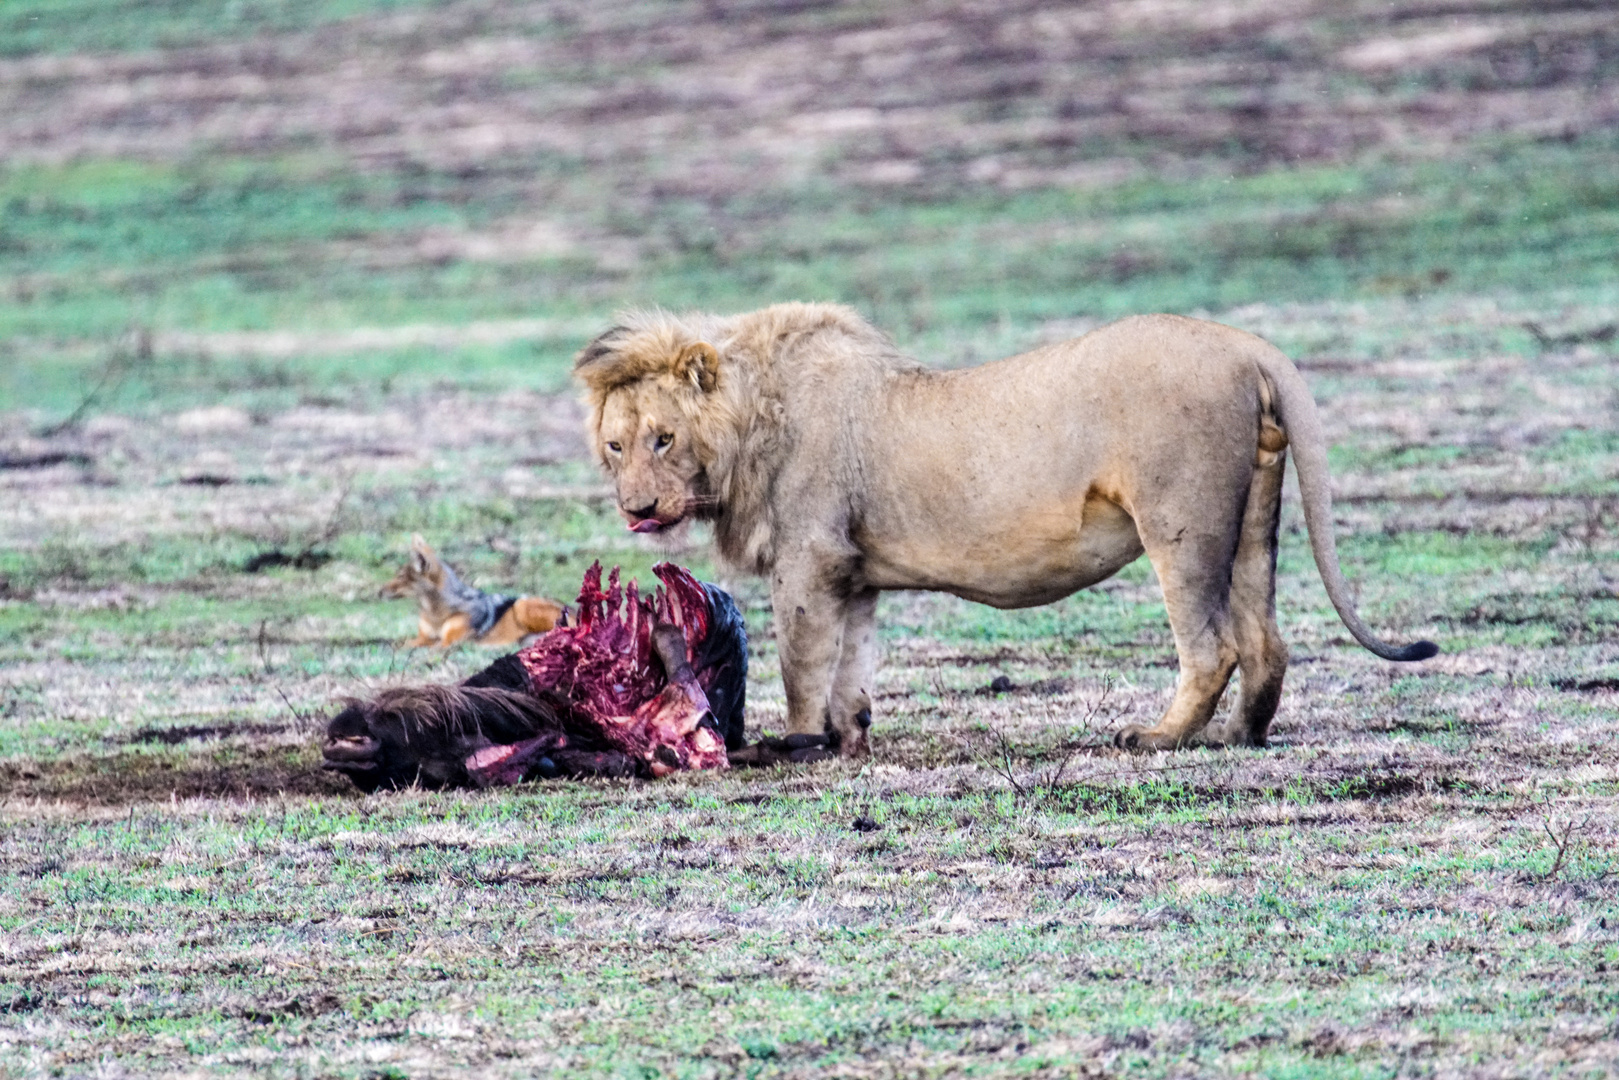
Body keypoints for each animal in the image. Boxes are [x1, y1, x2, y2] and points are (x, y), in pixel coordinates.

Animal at [576, 302, 1437, 761]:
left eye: (662, 439)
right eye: (615, 446)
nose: (636, 508)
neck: (752, 416)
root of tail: (1247, 345)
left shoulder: (809, 557)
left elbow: (800, 665)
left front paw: (794, 745)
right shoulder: (851, 570)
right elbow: (851, 666)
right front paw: (848, 740)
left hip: (1181, 521)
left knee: (1212, 646)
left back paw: (1156, 737)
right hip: (1254, 517)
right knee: (1265, 643)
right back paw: (1238, 737)